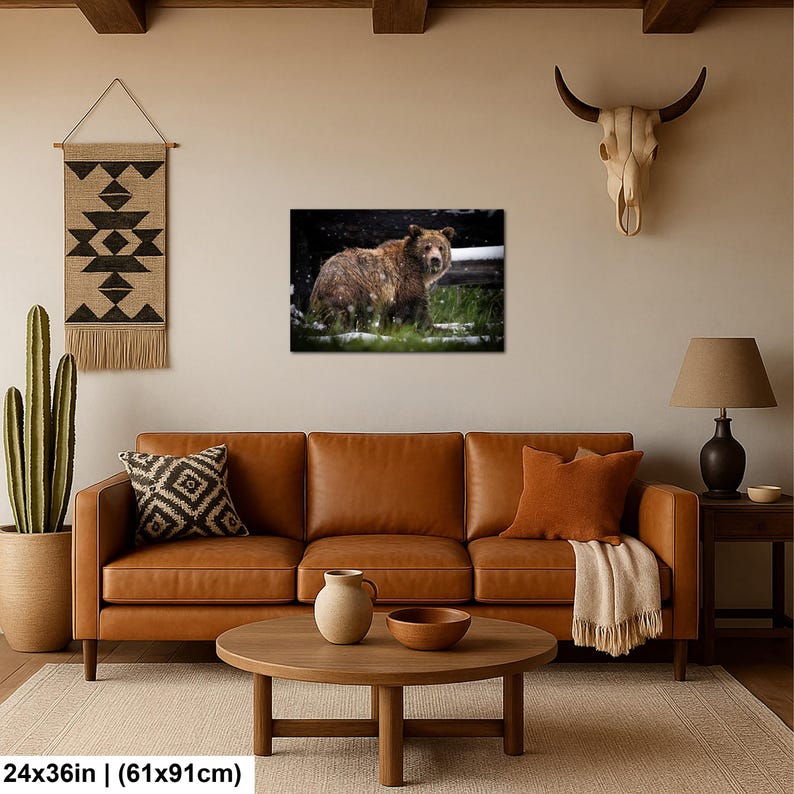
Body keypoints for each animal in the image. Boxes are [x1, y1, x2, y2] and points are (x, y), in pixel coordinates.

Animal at [309, 224, 455, 332]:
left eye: (441, 247)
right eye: (427, 247)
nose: (435, 259)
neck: (418, 268)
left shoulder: (393, 294)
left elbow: (390, 315)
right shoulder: (407, 280)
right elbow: (416, 307)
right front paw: (431, 328)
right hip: (349, 288)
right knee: (347, 314)